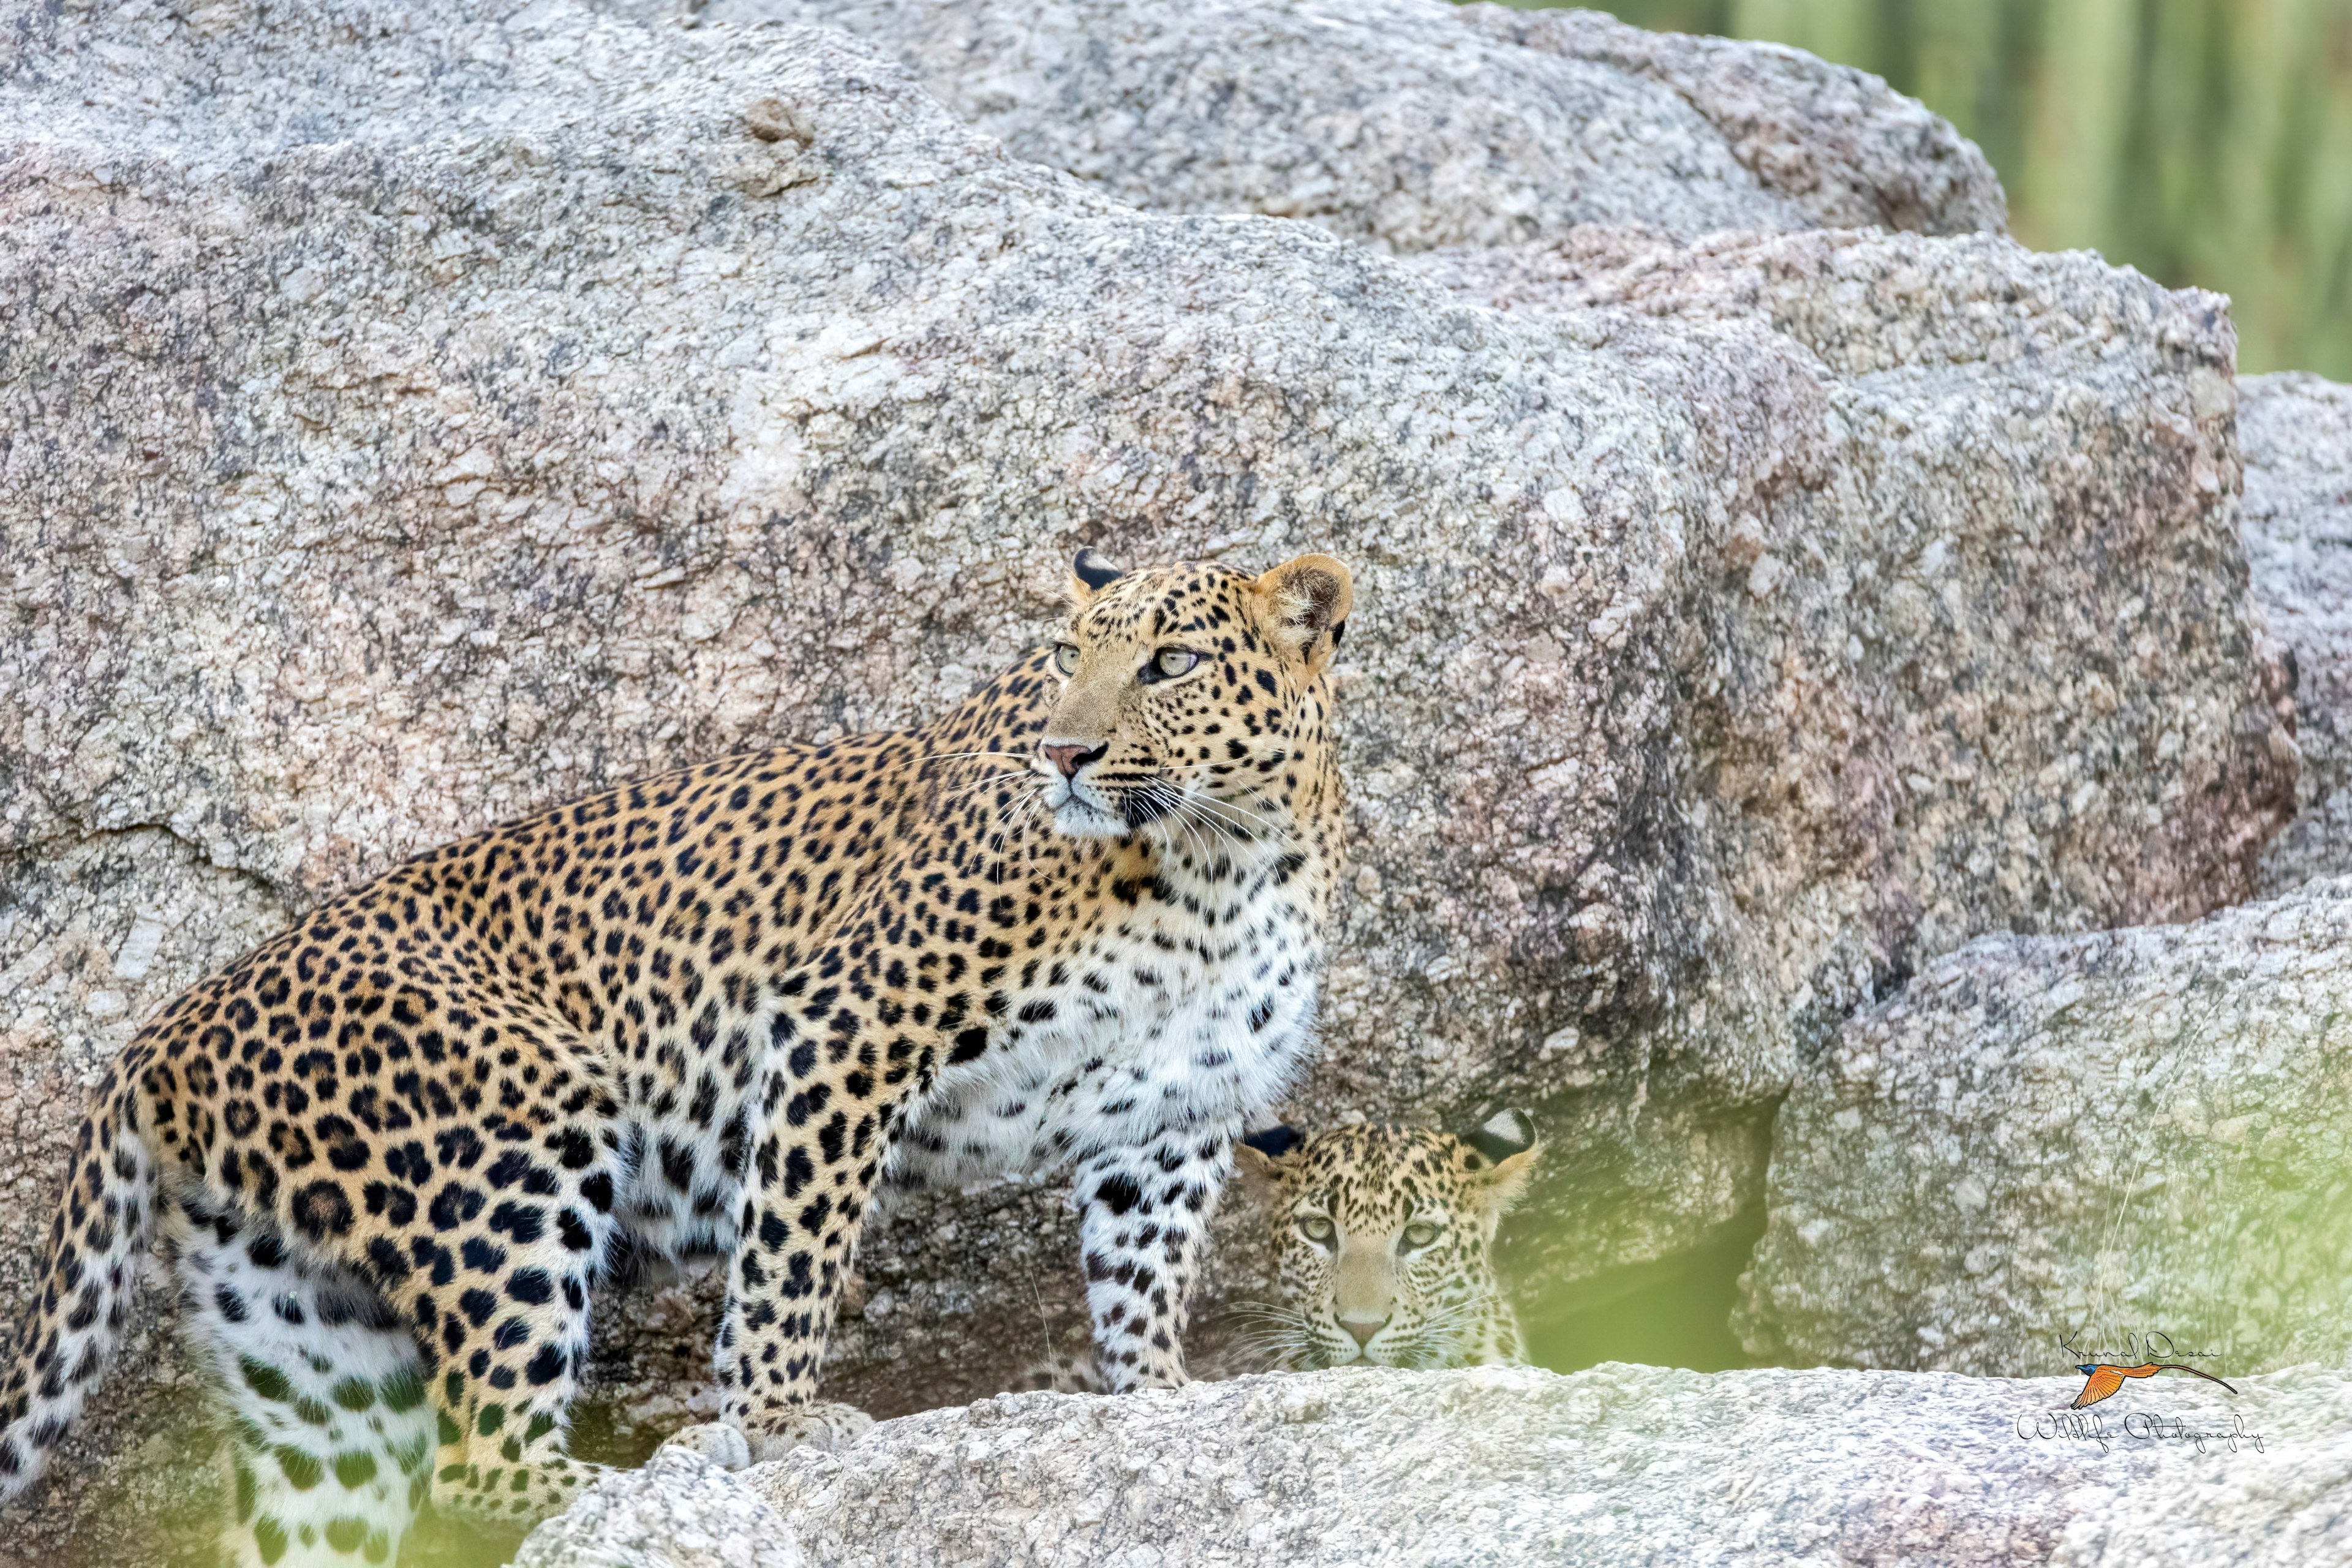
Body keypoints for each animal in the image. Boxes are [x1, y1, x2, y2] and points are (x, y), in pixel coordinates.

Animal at [0, 554, 1354, 1568]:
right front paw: (778, 1430)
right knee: (479, 1458)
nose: (1064, 756)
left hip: (308, 1341)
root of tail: (162, 1033)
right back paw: (639, 1478)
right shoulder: (845, 1026)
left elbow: (1143, 1275)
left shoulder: (1176, 1113)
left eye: (1171, 664)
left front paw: (1161, 1403)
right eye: (1071, 659)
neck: (1223, 859)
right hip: (517, 1147)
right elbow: (792, 1261)